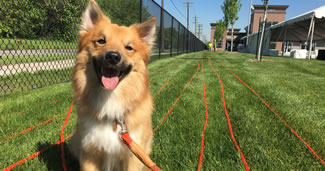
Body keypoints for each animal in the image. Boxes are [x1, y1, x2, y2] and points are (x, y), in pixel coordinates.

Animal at [70, 0, 156, 170]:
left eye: (129, 47)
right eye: (101, 41)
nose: (113, 56)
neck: (109, 98)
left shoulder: (133, 156)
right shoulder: (89, 152)